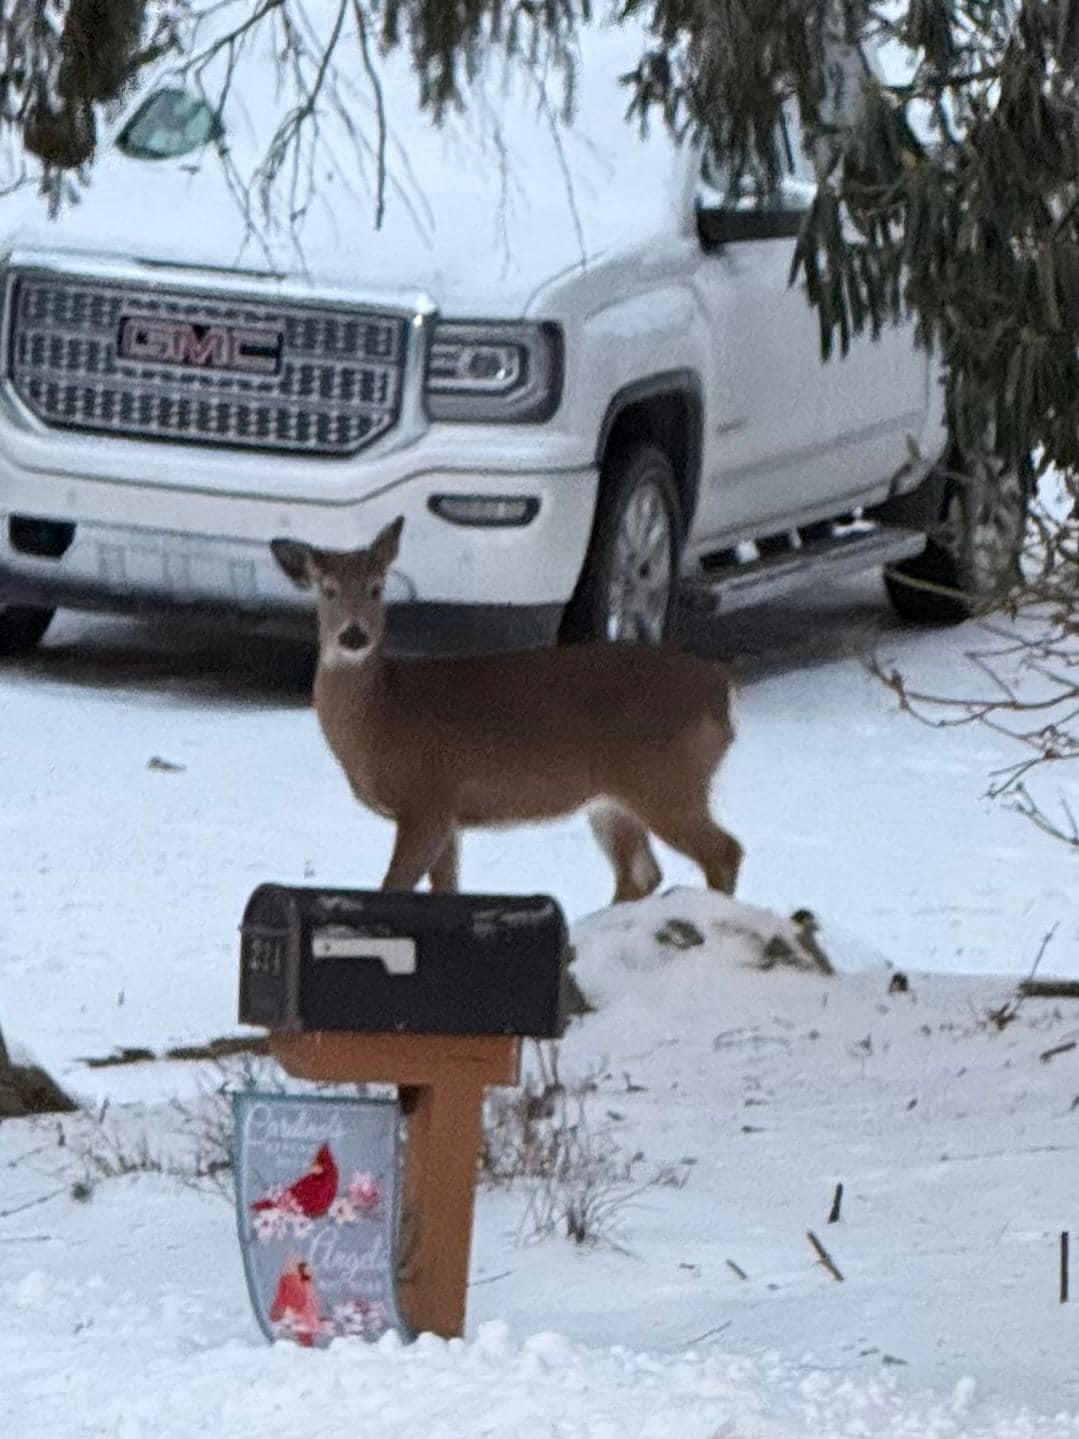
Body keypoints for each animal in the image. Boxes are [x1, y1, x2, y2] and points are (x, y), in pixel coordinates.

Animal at [270, 518, 743, 903]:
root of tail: (719, 687)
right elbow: (447, 891)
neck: (382, 716)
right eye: (327, 588)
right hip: (614, 801)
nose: (354, 635)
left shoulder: (428, 797)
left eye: (377, 586)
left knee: (723, 852)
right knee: (644, 874)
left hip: (666, 778)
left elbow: (394, 886)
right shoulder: (448, 817)